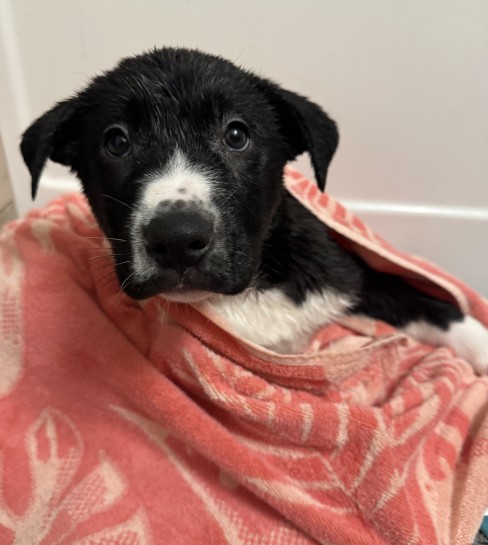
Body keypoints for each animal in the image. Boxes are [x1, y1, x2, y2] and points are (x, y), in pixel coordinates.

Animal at [20, 47, 488, 372]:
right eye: (116, 142)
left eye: (236, 135)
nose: (177, 239)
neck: (252, 289)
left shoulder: (349, 274)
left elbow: (430, 303)